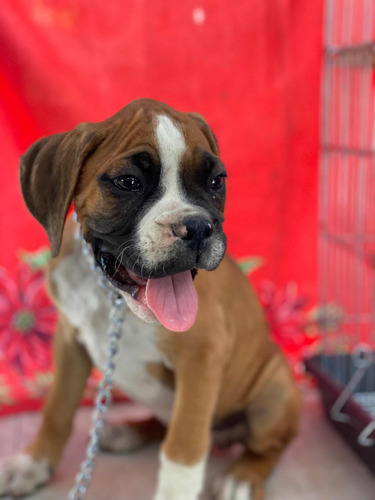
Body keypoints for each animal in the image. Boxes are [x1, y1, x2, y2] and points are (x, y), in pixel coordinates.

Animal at [0, 99, 300, 498]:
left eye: (216, 182)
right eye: (129, 182)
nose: (199, 228)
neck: (114, 300)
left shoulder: (200, 357)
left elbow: (183, 447)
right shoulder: (69, 340)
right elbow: (57, 409)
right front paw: (33, 463)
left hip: (275, 390)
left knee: (268, 445)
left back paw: (243, 476)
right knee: (164, 422)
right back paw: (129, 431)